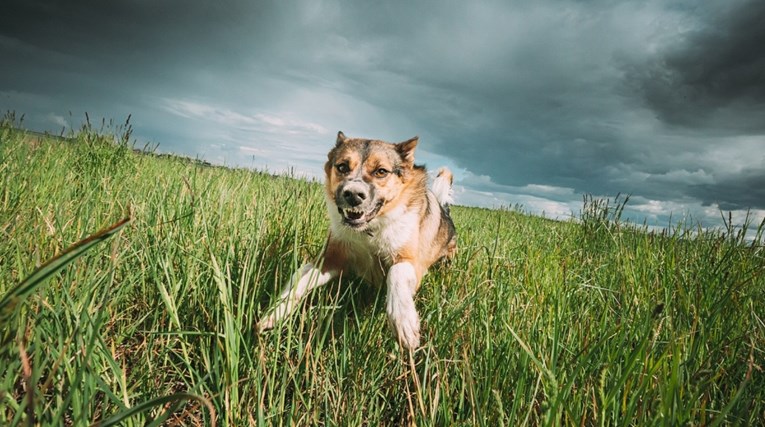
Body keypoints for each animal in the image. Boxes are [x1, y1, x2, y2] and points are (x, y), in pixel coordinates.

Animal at [256, 131, 460, 352]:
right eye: (342, 167)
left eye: (381, 171)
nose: (353, 195)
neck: (368, 232)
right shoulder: (332, 258)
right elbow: (301, 279)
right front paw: (275, 312)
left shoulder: (410, 261)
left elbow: (395, 274)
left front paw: (404, 323)